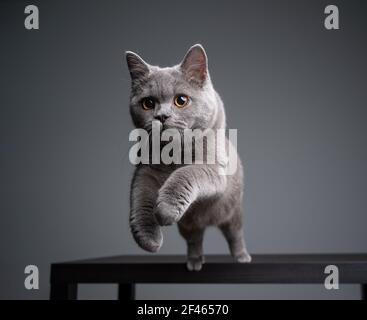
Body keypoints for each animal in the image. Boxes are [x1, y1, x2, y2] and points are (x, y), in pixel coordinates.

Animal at [125, 44, 252, 270]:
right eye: (148, 103)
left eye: (181, 100)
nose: (161, 116)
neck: (175, 155)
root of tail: (208, 221)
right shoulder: (145, 171)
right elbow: (139, 198)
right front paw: (149, 239)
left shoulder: (213, 168)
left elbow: (185, 173)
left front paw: (165, 210)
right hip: (189, 225)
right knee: (195, 240)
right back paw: (194, 261)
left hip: (232, 212)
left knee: (235, 235)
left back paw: (242, 257)